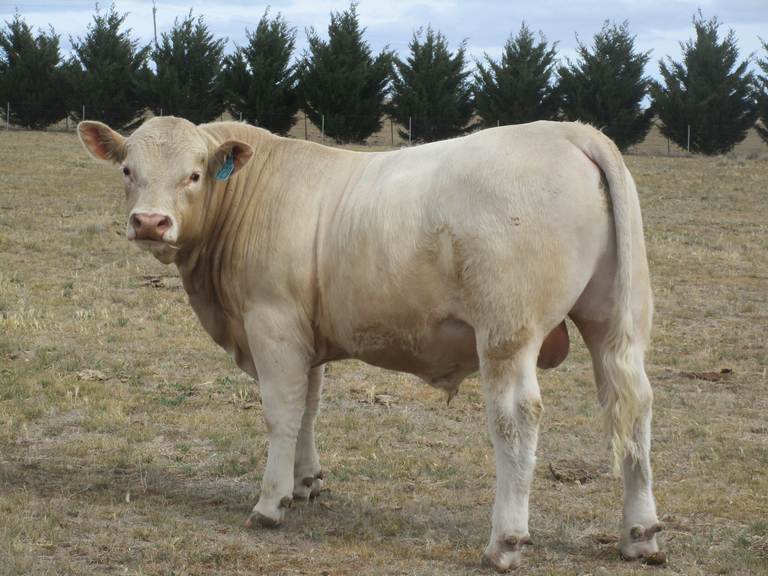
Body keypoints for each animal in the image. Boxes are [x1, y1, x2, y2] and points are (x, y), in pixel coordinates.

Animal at [78, 117, 663, 571]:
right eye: (128, 170)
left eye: (194, 174)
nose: (150, 222)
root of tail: (567, 130)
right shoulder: (305, 335)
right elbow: (309, 406)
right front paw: (306, 482)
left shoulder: (273, 324)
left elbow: (281, 412)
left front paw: (270, 502)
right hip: (616, 323)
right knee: (634, 407)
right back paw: (640, 535)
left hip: (506, 332)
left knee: (517, 419)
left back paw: (505, 542)